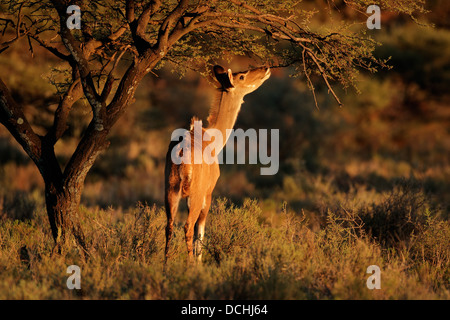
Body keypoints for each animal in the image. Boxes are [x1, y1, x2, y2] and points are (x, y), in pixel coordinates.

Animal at [164, 65, 270, 262]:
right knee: (188, 227)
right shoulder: (208, 194)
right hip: (195, 196)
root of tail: (182, 153)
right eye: (241, 76)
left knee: (170, 226)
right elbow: (200, 233)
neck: (211, 138)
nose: (266, 68)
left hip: (170, 192)